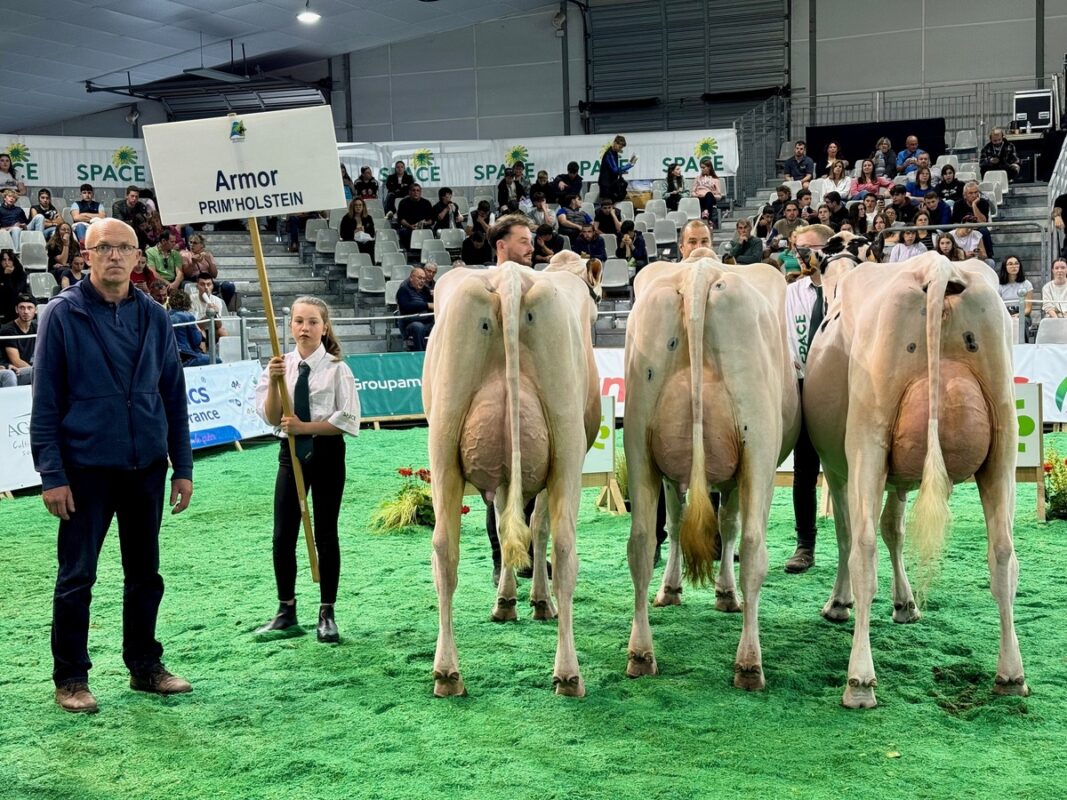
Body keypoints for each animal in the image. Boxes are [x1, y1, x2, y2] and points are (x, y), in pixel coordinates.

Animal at [426, 253, 610, 699]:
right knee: (564, 548)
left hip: (442, 442)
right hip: (566, 446)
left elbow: (502, 527)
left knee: (444, 551)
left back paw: (447, 672)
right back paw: (568, 673)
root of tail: (508, 278)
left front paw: (505, 602)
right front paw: (535, 602)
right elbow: (536, 527)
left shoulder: (503, 475)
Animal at [623, 254, 802, 691]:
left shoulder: (671, 474)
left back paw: (641, 654)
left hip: (638, 443)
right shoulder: (740, 474)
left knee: (641, 542)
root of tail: (700, 272)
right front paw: (724, 594)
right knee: (753, 547)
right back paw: (749, 663)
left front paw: (671, 589)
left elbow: (675, 522)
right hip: (759, 451)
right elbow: (729, 524)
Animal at [802, 251, 1028, 708]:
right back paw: (1011, 675)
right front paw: (906, 603)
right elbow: (895, 527)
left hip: (867, 439)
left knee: (862, 548)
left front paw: (840, 603)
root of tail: (938, 268)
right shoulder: (902, 476)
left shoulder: (839, 466)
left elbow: (851, 533)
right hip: (1004, 441)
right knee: (1002, 552)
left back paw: (859, 680)